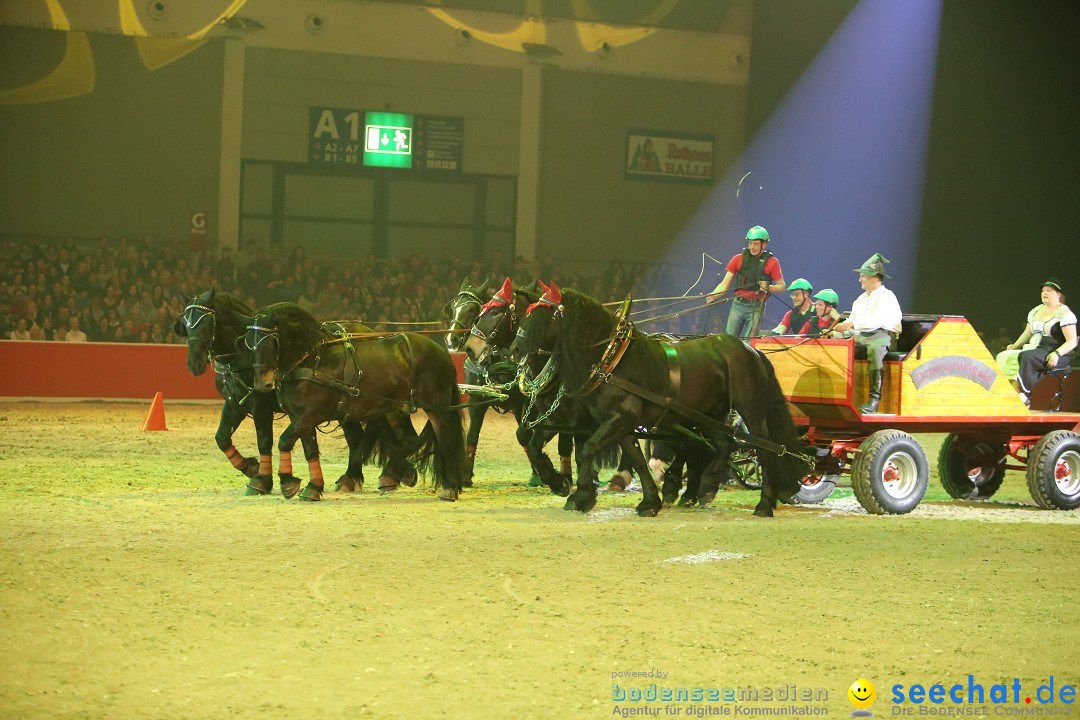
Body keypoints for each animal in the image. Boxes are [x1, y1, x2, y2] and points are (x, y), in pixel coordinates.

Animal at [247, 302, 466, 500]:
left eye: (269, 342)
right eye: (249, 343)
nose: (262, 384)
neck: (314, 360)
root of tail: (442, 352)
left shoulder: (309, 415)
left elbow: (284, 441)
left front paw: (287, 482)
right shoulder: (300, 417)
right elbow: (309, 450)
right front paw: (313, 487)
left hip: (436, 407)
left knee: (445, 440)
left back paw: (448, 487)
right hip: (393, 408)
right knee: (409, 440)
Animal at [511, 282, 803, 518]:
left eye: (547, 315)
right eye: (526, 314)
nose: (515, 348)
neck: (611, 359)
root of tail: (751, 349)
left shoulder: (615, 418)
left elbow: (587, 450)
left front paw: (579, 494)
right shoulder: (615, 422)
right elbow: (636, 459)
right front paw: (648, 501)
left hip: (749, 409)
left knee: (764, 449)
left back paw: (763, 504)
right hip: (709, 413)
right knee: (721, 442)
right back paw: (705, 488)